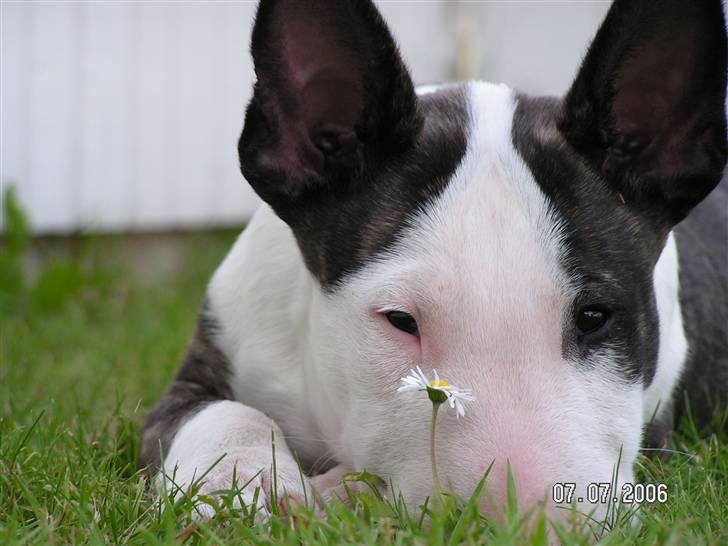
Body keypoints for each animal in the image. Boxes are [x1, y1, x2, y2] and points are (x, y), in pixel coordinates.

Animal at [138, 0, 728, 520]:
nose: (520, 523)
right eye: (400, 320)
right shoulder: (206, 363)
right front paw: (242, 483)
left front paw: (338, 492)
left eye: (594, 317)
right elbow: (224, 413)